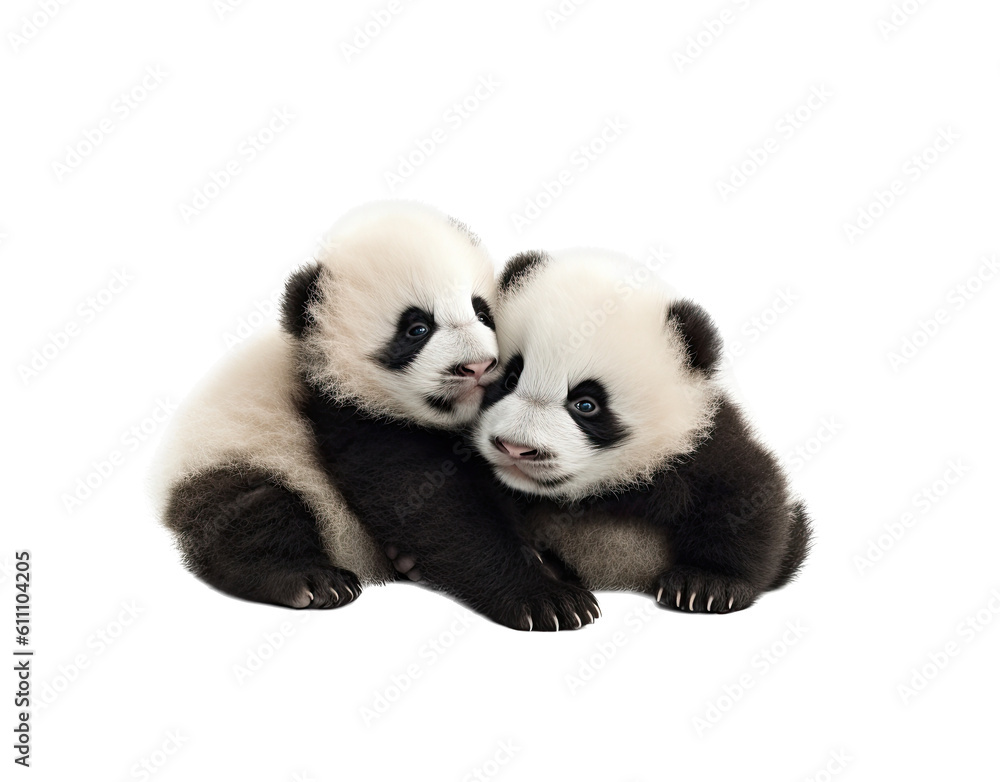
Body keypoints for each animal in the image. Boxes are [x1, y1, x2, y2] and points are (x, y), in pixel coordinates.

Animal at [153, 202, 599, 631]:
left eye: (482, 313)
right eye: (417, 329)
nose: (477, 366)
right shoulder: (353, 419)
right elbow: (433, 508)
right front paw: (549, 600)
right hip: (237, 454)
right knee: (254, 511)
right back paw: (311, 581)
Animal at [473, 249, 812, 613]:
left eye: (586, 405)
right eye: (510, 380)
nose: (515, 448)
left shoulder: (699, 440)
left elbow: (749, 492)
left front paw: (706, 584)